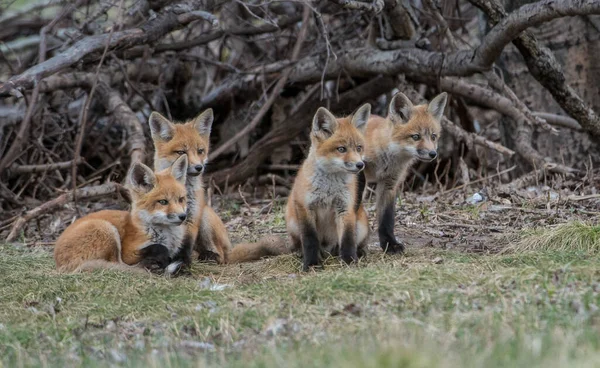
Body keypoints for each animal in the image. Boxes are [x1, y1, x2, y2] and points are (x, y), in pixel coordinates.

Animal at [148, 108, 288, 268]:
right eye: (181, 152)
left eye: (200, 151)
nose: (199, 167)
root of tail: (229, 250)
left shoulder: (192, 217)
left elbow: (185, 245)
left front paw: (182, 263)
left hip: (205, 216)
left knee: (219, 255)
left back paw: (208, 257)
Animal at [284, 103, 370, 270]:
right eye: (341, 149)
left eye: (359, 148)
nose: (360, 165)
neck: (329, 188)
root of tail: (328, 249)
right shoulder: (305, 207)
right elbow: (310, 240)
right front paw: (311, 265)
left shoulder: (345, 208)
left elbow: (348, 240)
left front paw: (350, 261)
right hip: (292, 221)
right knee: (299, 243)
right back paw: (301, 253)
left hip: (361, 225)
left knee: (350, 243)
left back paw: (357, 252)